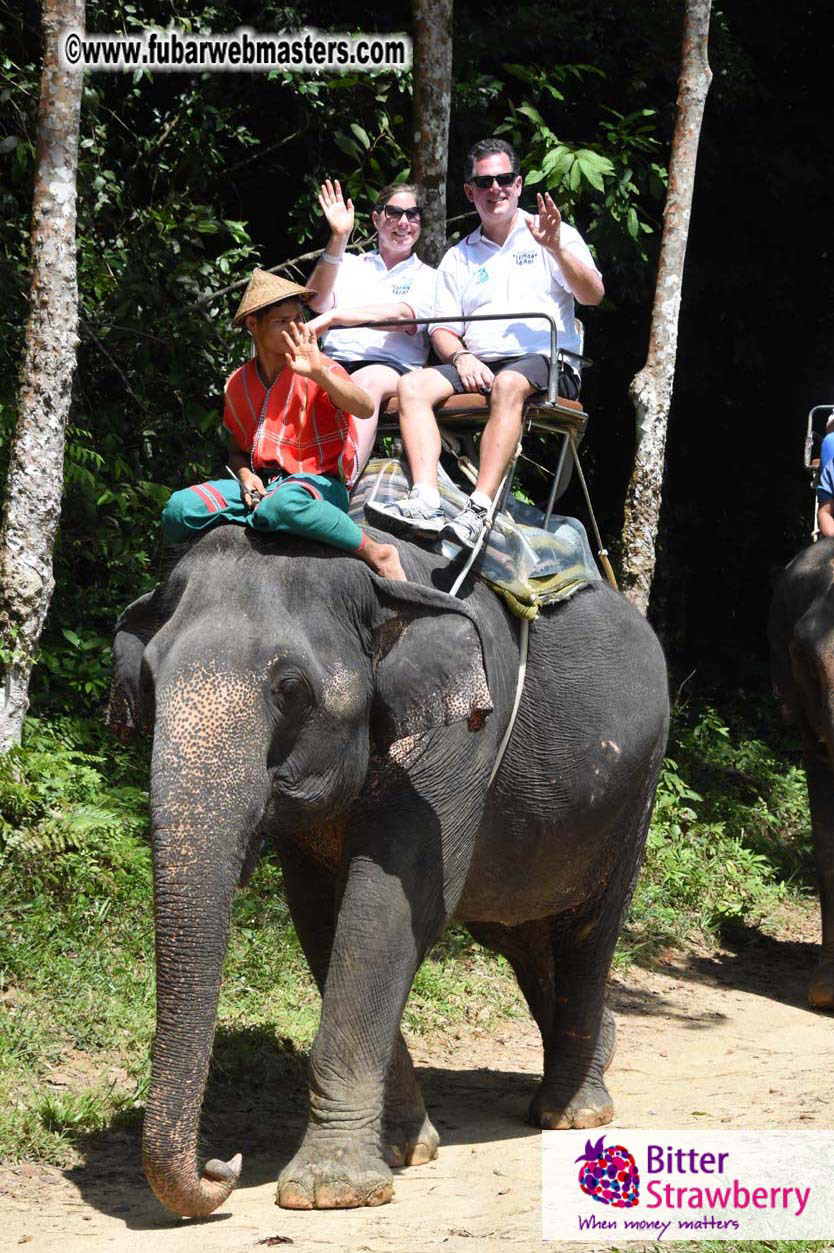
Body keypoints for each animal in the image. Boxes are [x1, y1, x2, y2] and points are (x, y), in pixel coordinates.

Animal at [107, 522, 669, 1218]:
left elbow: (392, 909)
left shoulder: (454, 745)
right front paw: (404, 1150)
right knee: (520, 934)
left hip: (634, 792)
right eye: (150, 682)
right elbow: (321, 919)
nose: (222, 1165)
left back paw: (574, 1114)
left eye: (289, 687)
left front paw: (329, 1190)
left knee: (588, 932)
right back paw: (605, 1048)